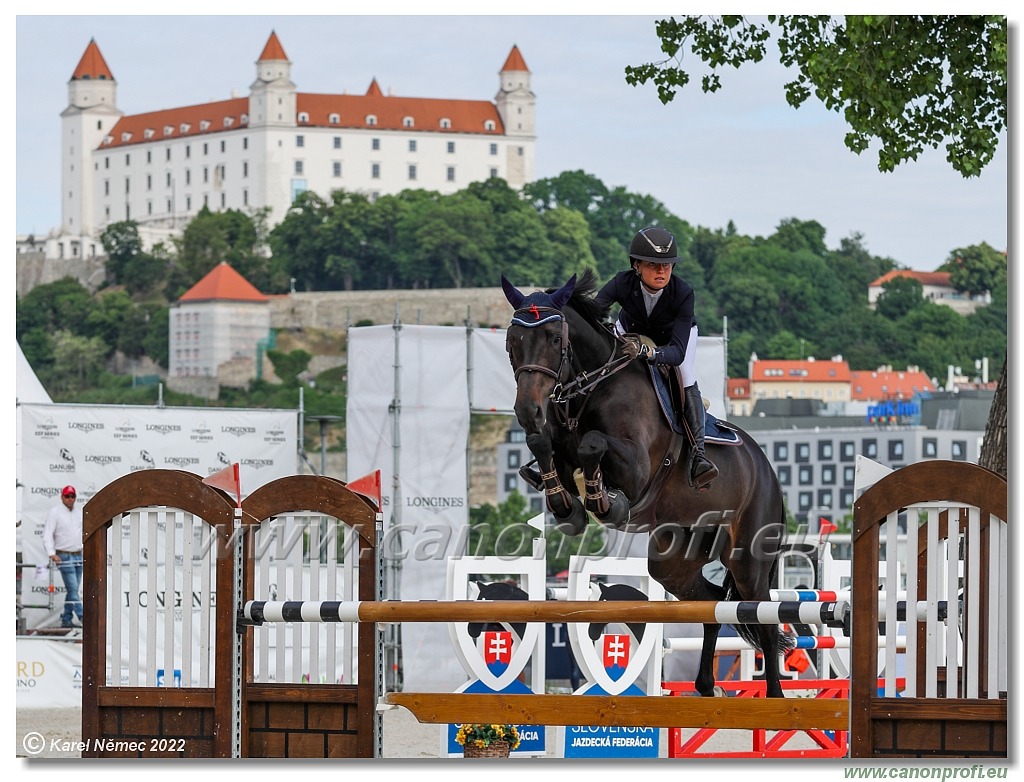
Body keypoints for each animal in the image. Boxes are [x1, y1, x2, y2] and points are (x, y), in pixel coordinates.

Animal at [501, 268, 790, 696]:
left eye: (555, 339)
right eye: (512, 341)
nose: (527, 411)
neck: (588, 390)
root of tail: (768, 470)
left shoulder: (636, 467)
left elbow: (593, 443)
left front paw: (605, 501)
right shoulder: (555, 444)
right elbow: (545, 448)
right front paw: (569, 509)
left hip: (749, 559)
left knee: (762, 619)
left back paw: (775, 697)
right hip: (676, 557)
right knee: (711, 603)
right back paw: (706, 686)